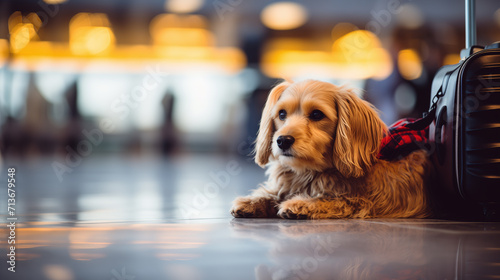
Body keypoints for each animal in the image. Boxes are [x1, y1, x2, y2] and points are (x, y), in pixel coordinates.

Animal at [230, 79, 430, 219]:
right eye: (282, 114)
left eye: (317, 114)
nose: (283, 140)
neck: (310, 171)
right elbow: (275, 193)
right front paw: (252, 201)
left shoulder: (358, 201)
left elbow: (328, 199)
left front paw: (300, 204)